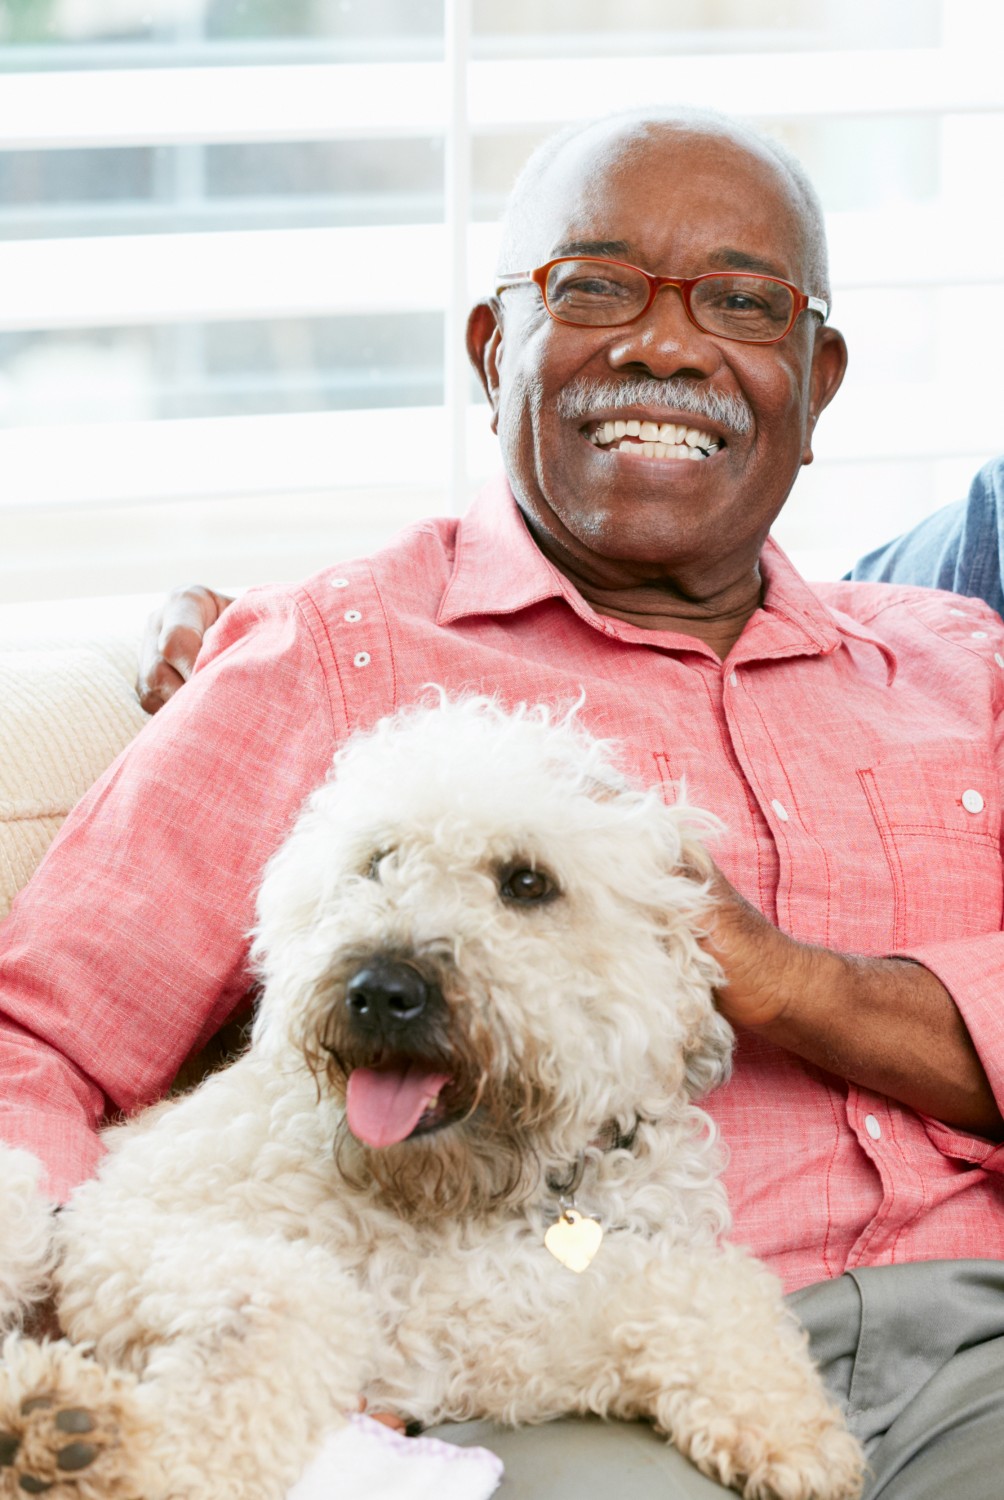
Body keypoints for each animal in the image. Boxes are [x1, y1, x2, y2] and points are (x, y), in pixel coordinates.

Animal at [0, 699, 864, 1500]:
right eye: (378, 861)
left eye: (527, 882)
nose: (380, 990)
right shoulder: (128, 1236)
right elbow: (274, 1331)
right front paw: (113, 1444)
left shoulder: (484, 1333)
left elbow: (690, 1290)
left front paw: (785, 1422)